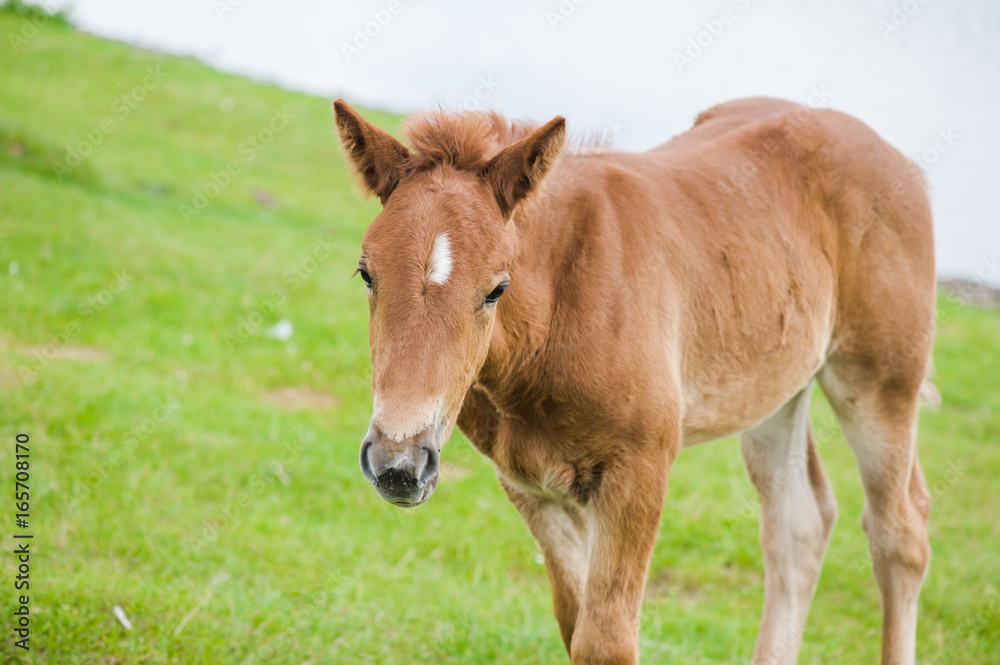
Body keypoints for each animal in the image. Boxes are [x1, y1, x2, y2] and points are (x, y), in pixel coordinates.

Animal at [336, 94, 936, 664]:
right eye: (366, 274)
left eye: (495, 289)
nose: (398, 463)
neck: (561, 308)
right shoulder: (533, 489)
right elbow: (573, 624)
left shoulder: (637, 475)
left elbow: (606, 642)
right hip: (774, 390)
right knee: (798, 528)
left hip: (879, 382)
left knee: (900, 536)